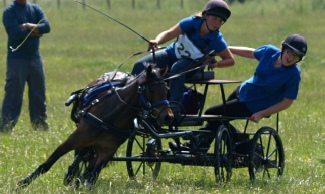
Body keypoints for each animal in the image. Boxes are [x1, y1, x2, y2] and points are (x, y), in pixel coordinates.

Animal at [16, 65, 173, 189]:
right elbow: (48, 163)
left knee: (88, 163)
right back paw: (71, 174)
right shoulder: (73, 139)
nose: (168, 117)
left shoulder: (107, 151)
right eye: (151, 89)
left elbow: (92, 174)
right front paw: (22, 183)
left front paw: (81, 183)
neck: (112, 117)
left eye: (166, 89)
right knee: (80, 155)